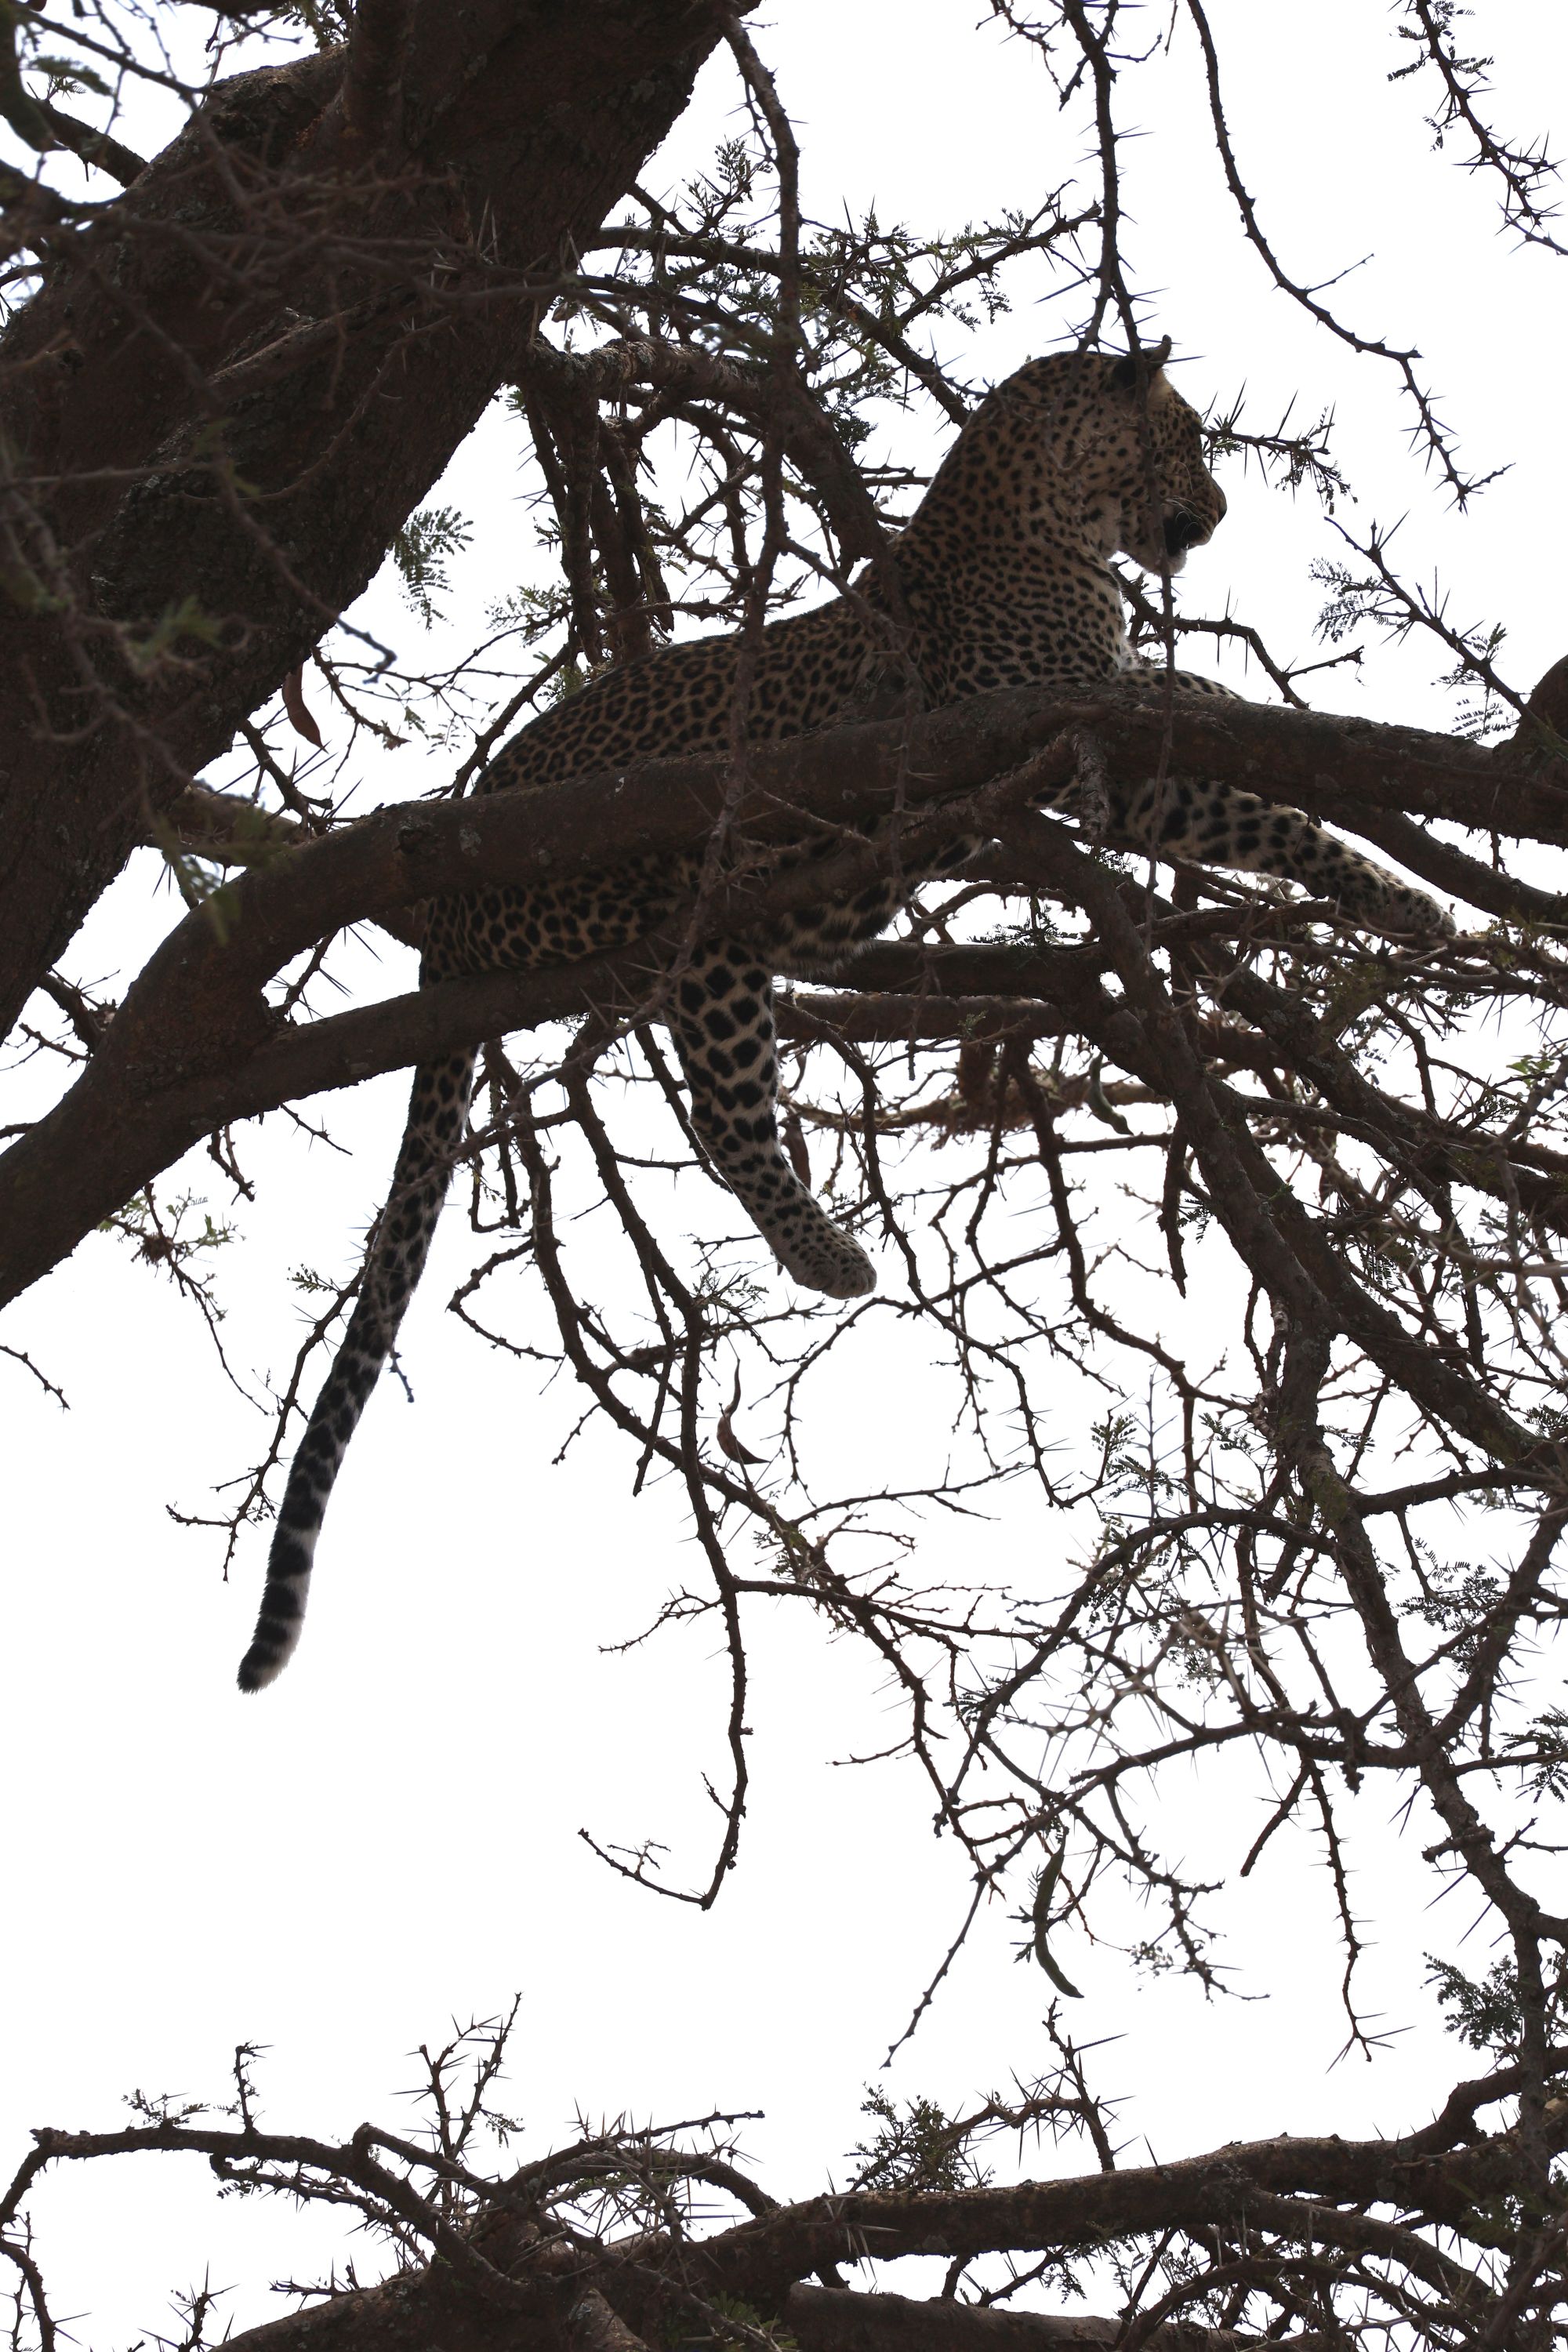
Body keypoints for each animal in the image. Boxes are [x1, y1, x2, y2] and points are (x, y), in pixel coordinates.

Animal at [237, 340, 1450, 1692]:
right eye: (1187, 440)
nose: (1222, 513)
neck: (1048, 524)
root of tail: (445, 920)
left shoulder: (1125, 749)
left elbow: (1243, 789)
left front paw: (1402, 900)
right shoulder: (1048, 714)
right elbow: (1226, 765)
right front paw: (1384, 864)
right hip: (702, 922)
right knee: (726, 1122)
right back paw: (829, 1255)